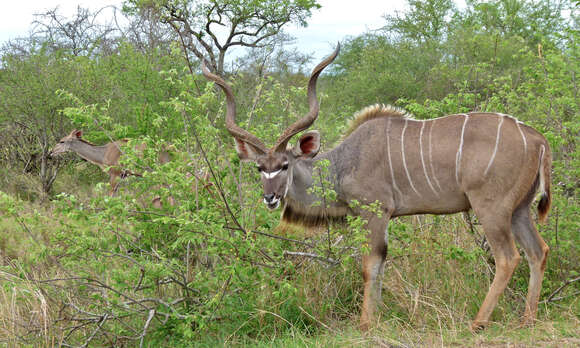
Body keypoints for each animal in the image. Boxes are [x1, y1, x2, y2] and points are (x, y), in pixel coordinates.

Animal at [203, 46, 552, 332]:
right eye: (260, 168)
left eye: (285, 165)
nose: (271, 197)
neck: (343, 163)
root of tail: (538, 139)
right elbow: (380, 264)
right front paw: (379, 315)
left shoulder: (376, 213)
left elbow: (371, 264)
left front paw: (367, 322)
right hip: (519, 210)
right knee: (538, 251)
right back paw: (527, 320)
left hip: (491, 208)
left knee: (508, 257)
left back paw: (479, 322)